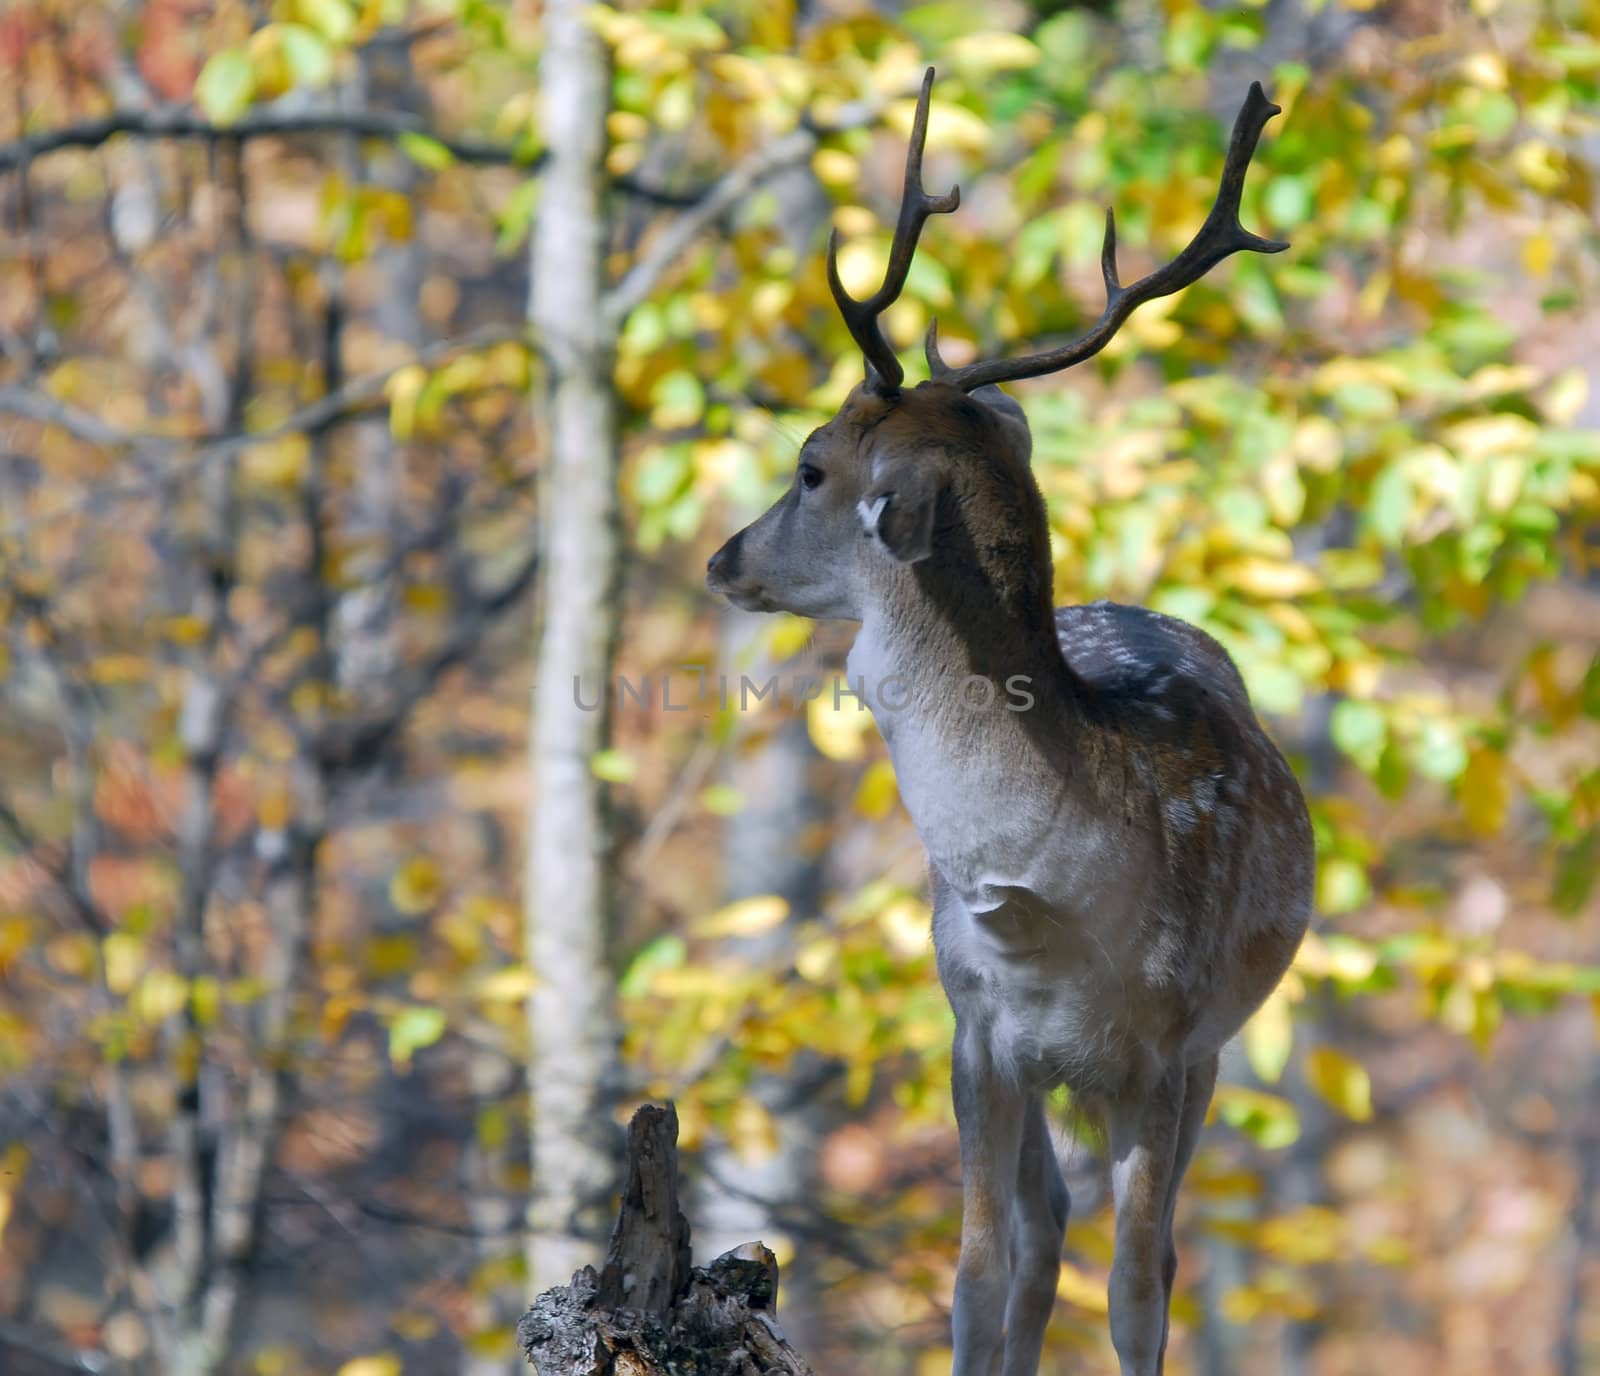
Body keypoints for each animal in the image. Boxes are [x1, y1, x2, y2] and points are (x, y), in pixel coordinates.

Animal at [710, 75, 1312, 1376]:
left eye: (811, 465)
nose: (722, 556)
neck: (1054, 888)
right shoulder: (976, 1027)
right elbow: (976, 1269)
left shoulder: (1168, 1044)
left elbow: (1138, 1284)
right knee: (1039, 1231)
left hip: (1208, 1050)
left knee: (1125, 1244)